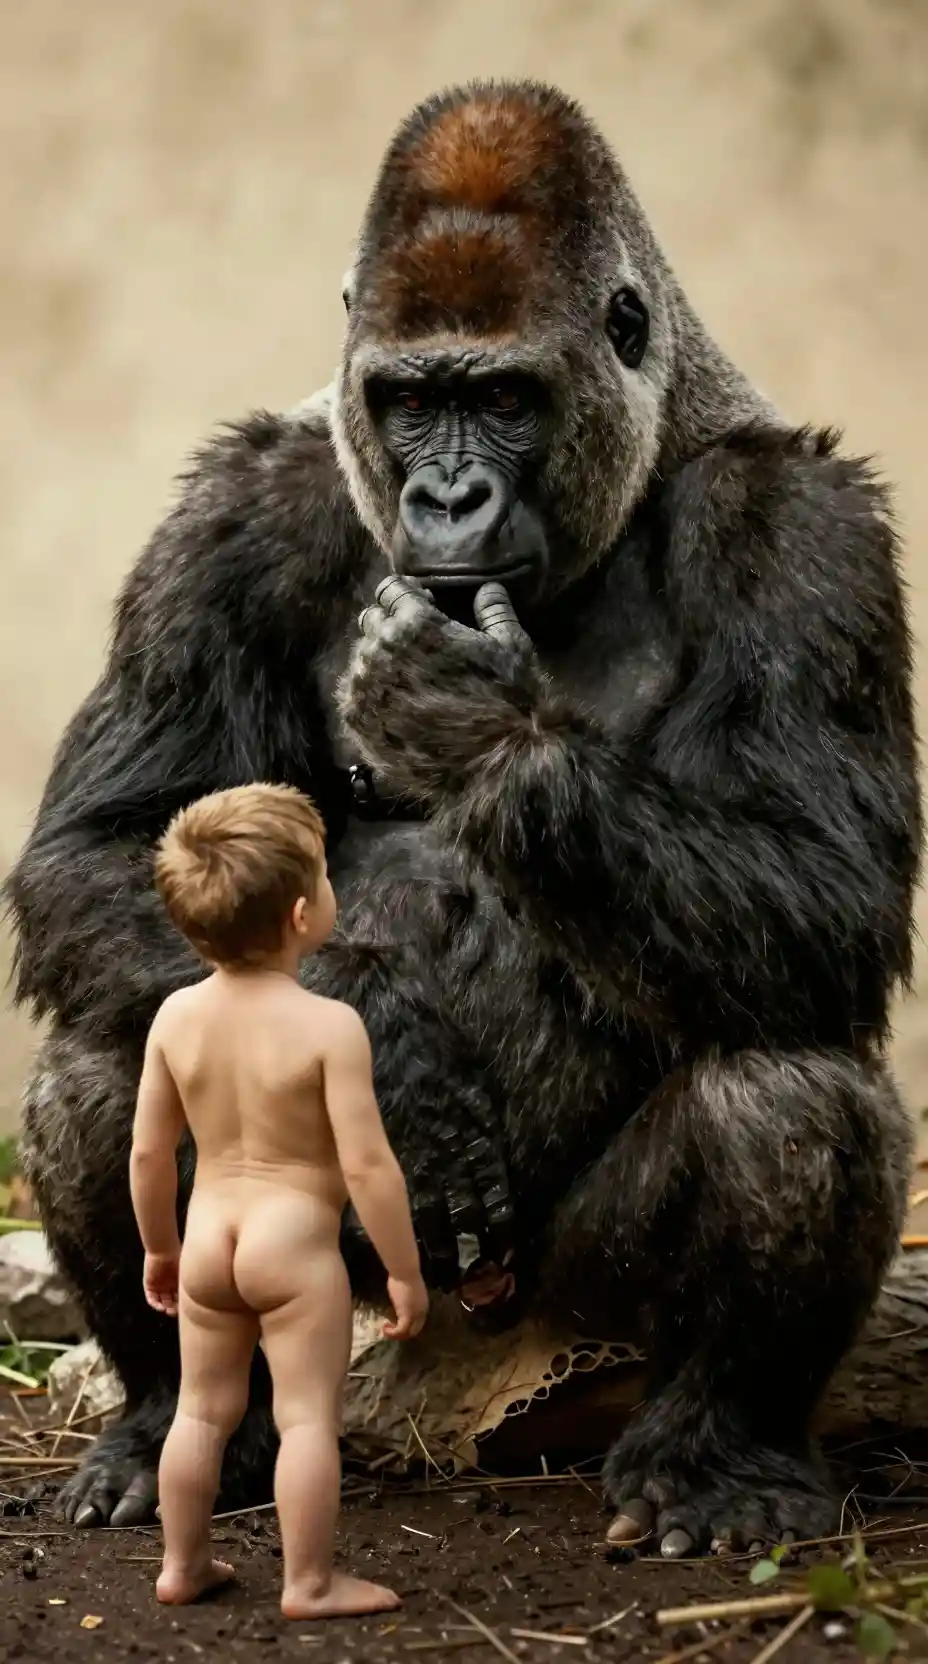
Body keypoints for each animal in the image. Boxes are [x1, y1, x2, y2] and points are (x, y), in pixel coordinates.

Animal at [6, 79, 920, 1558]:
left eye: (501, 398)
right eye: (409, 400)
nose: (445, 497)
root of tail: (460, 1328)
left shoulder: (805, 531)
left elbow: (825, 891)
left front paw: (477, 725)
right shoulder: (227, 513)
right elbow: (102, 847)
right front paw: (389, 1047)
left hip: (568, 1307)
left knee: (789, 1082)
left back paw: (715, 1448)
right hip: (355, 1271)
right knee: (110, 1048)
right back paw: (177, 1423)